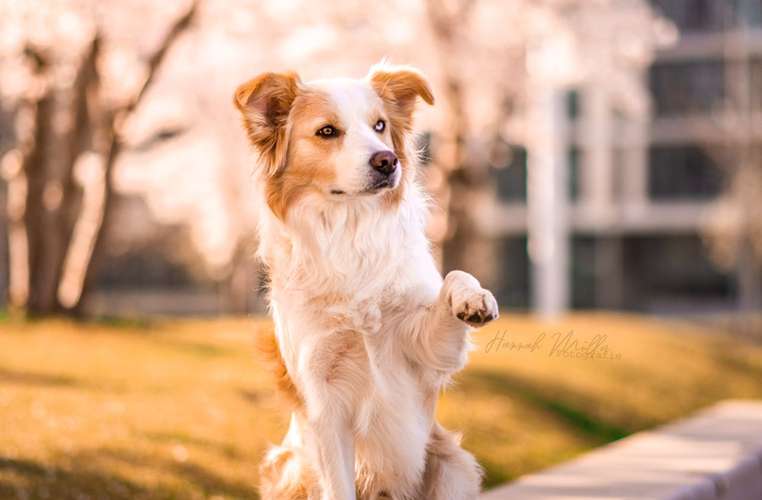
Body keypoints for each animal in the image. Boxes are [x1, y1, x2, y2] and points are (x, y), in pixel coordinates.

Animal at [232, 63, 498, 500]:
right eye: (327, 131)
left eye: (380, 126)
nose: (387, 161)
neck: (349, 230)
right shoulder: (324, 404)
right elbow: (339, 485)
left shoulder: (425, 351)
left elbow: (453, 278)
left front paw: (472, 298)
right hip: (288, 468)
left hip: (453, 465)